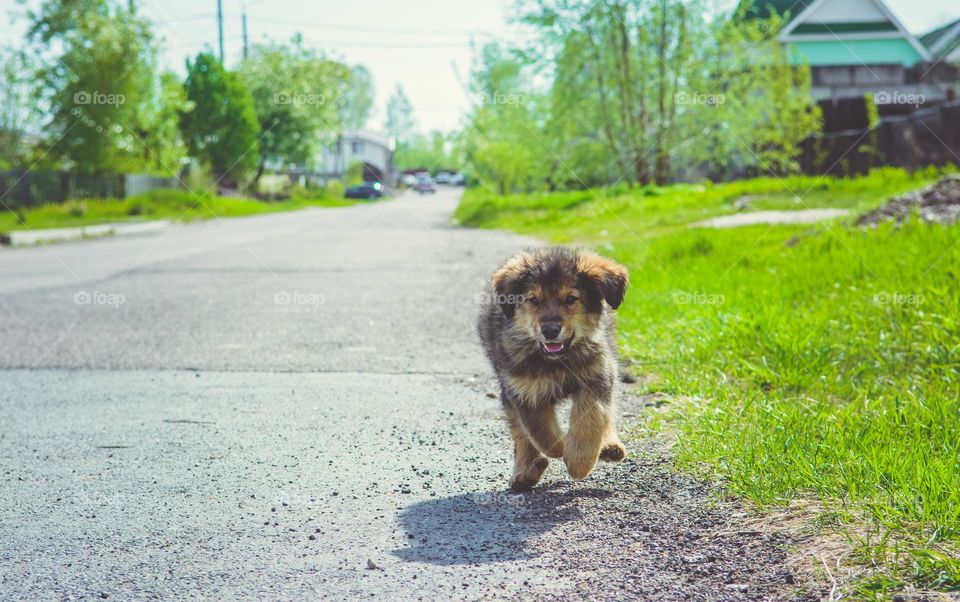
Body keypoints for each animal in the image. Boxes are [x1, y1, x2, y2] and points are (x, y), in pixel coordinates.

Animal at [478, 246, 632, 490]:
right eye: (534, 300)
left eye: (570, 299)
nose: (550, 331)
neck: (557, 361)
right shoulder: (524, 391)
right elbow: (540, 433)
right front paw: (561, 446)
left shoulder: (597, 375)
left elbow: (592, 418)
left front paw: (579, 460)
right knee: (518, 432)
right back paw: (525, 470)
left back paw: (609, 446)